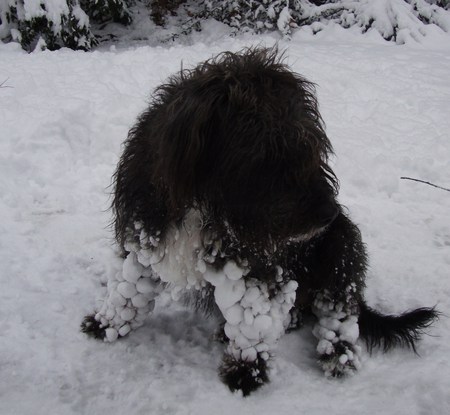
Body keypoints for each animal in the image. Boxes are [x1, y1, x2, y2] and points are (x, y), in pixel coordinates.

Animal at [82, 47, 438, 398]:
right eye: (268, 153)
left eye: (313, 144)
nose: (329, 213)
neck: (202, 202)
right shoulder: (145, 234)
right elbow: (127, 289)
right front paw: (109, 324)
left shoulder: (258, 267)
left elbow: (254, 322)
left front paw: (246, 370)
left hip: (342, 250)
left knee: (339, 314)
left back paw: (337, 355)